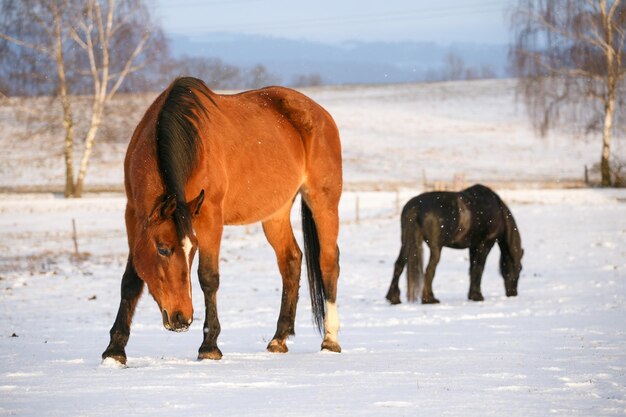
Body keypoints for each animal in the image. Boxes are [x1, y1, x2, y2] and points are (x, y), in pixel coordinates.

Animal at [101, 76, 342, 362]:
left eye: (193, 249)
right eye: (163, 249)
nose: (182, 318)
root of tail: (320, 113)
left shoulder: (209, 216)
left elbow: (208, 277)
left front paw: (209, 346)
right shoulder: (133, 216)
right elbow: (130, 280)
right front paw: (115, 350)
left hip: (323, 202)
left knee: (328, 262)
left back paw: (330, 340)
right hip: (276, 213)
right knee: (291, 260)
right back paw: (278, 339)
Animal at [386, 184, 520, 304]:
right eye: (520, 268)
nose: (513, 293)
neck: (498, 211)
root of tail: (416, 206)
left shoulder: (473, 246)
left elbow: (472, 268)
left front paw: (472, 295)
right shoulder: (485, 244)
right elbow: (479, 268)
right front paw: (477, 296)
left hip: (406, 243)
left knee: (399, 264)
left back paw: (394, 298)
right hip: (435, 248)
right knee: (429, 269)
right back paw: (429, 299)